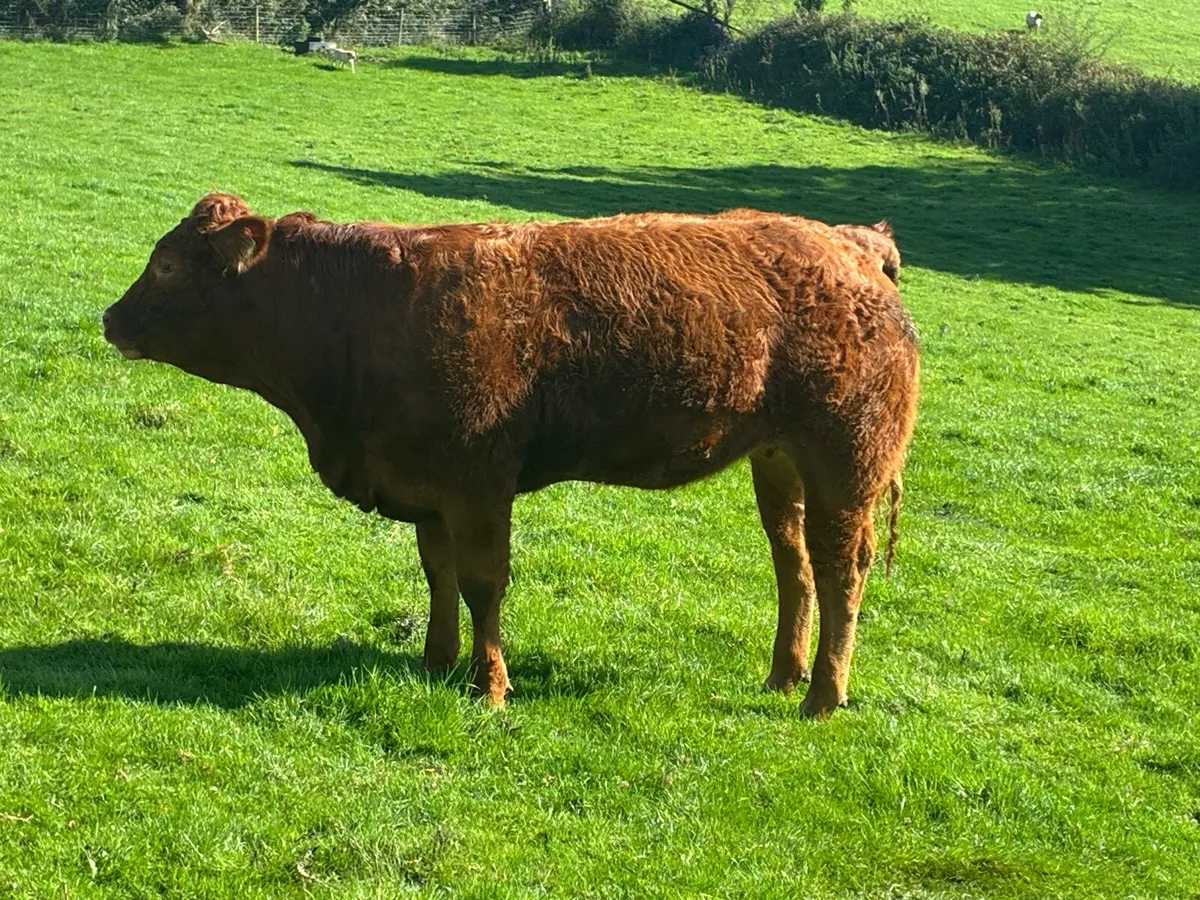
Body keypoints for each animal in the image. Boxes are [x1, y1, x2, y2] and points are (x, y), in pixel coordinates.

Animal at [103, 194, 920, 718]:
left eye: (168, 267)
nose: (111, 318)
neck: (361, 310)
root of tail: (851, 244)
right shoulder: (426, 484)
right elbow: (437, 575)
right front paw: (435, 662)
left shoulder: (477, 483)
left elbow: (482, 583)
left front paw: (489, 685)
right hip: (779, 462)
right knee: (795, 566)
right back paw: (784, 676)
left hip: (846, 463)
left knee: (840, 571)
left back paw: (822, 697)